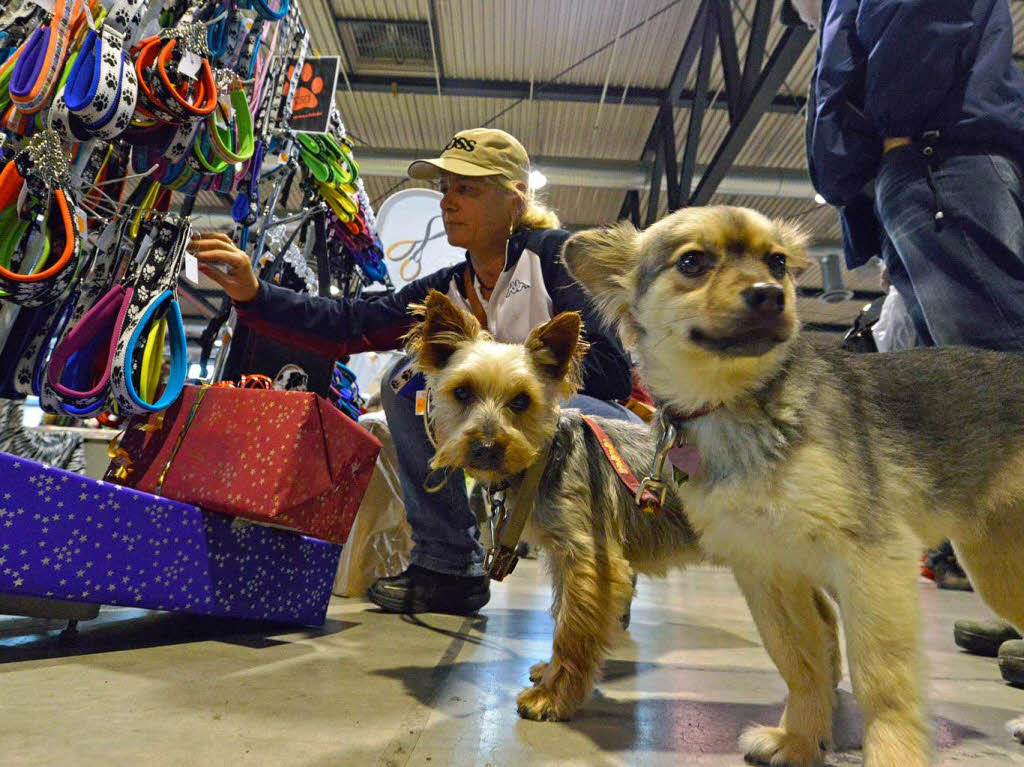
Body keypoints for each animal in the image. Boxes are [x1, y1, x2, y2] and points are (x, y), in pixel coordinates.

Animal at [407, 290, 704, 720]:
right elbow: (565, 612)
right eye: (462, 392)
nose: (486, 447)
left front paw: (551, 697)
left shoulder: (589, 558)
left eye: (522, 400)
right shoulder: (566, 558)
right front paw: (549, 674)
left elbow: (572, 629)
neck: (543, 459)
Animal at [565, 204, 1024, 765]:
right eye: (692, 262)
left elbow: (882, 679)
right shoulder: (768, 571)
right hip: (998, 563)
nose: (769, 293)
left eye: (778, 262)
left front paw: (892, 752)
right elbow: (800, 662)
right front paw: (800, 739)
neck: (738, 402)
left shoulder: (873, 562)